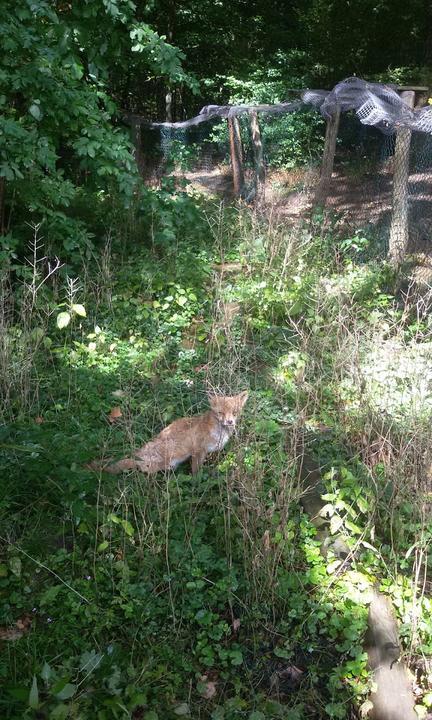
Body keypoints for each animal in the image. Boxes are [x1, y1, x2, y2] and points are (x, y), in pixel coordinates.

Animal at [89, 390, 248, 476]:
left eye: (235, 412)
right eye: (221, 413)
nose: (230, 422)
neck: (218, 431)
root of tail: (137, 453)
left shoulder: (210, 451)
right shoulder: (197, 451)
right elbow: (196, 471)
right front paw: (198, 480)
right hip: (168, 456)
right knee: (144, 469)